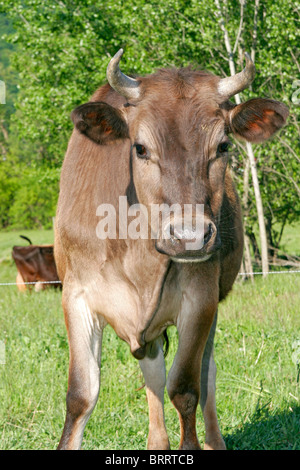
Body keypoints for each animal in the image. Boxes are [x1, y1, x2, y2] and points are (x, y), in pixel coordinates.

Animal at [54, 49, 288, 450]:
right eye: (140, 148)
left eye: (223, 146)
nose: (189, 236)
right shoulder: (77, 295)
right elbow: (81, 395)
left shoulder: (200, 299)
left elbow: (186, 389)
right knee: (153, 373)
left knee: (207, 372)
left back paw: (215, 440)